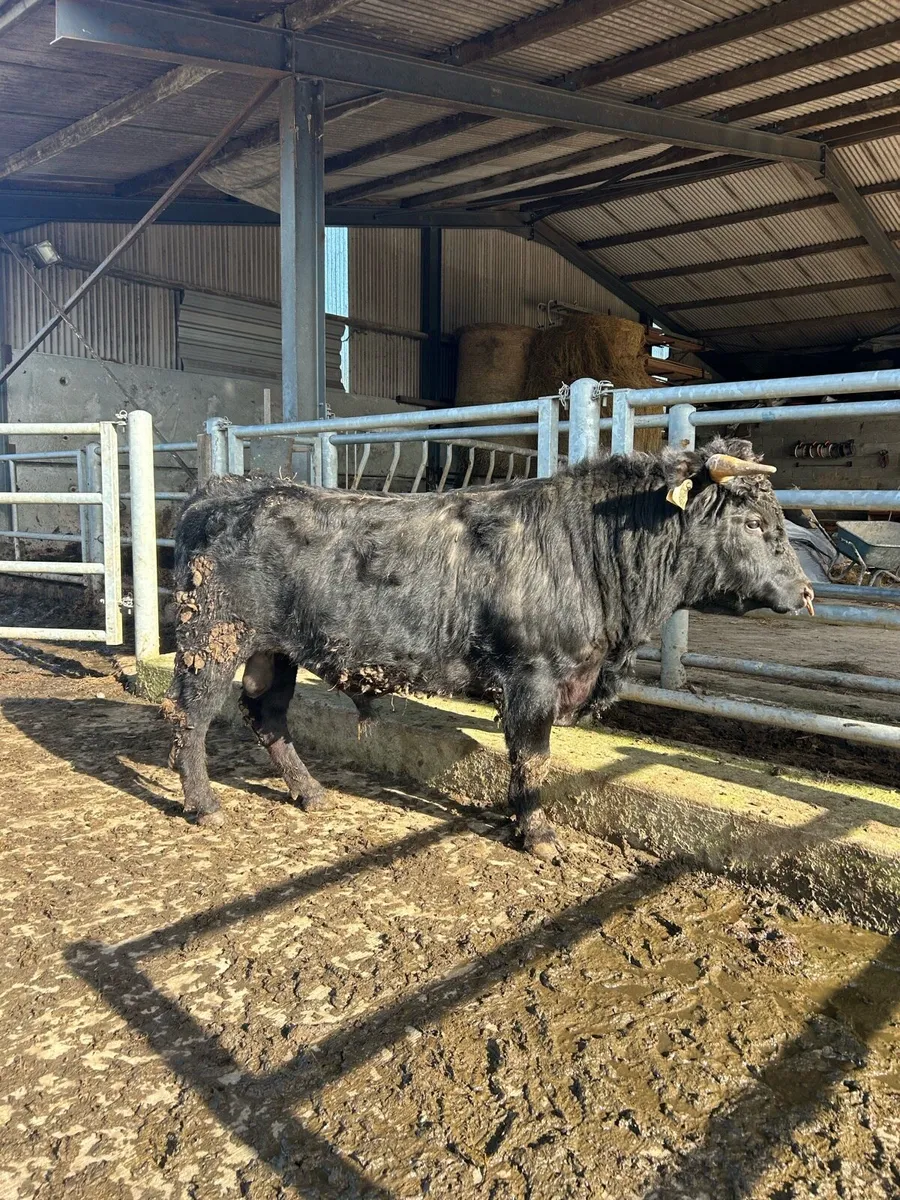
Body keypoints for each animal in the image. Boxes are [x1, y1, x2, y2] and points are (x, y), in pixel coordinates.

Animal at [162, 436, 813, 861]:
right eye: (753, 523)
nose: (806, 592)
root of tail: (224, 489)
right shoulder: (533, 678)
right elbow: (532, 757)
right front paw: (537, 833)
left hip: (274, 652)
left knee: (266, 715)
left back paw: (311, 793)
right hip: (212, 641)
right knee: (192, 718)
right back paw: (203, 803)